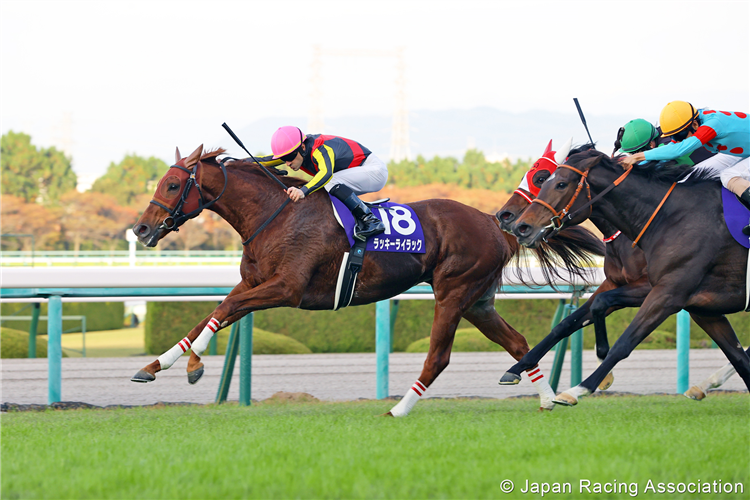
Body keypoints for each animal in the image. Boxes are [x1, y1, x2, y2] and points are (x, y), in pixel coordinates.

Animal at [131, 143, 604, 412]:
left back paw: (400, 408)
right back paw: (547, 399)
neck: (275, 215)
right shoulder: (253, 284)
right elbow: (210, 315)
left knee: (439, 357)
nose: (140, 229)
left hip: (453, 291)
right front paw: (155, 365)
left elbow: (225, 309)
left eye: (171, 185)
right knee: (518, 342)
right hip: (477, 301)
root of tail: (493, 221)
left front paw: (194, 364)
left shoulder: (287, 289)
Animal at [512, 149, 750, 406]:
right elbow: (573, 319)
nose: (519, 226)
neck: (669, 217)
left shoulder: (666, 293)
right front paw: (516, 368)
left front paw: (580, 387)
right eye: (544, 180)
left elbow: (623, 342)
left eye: (558, 183)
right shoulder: (697, 306)